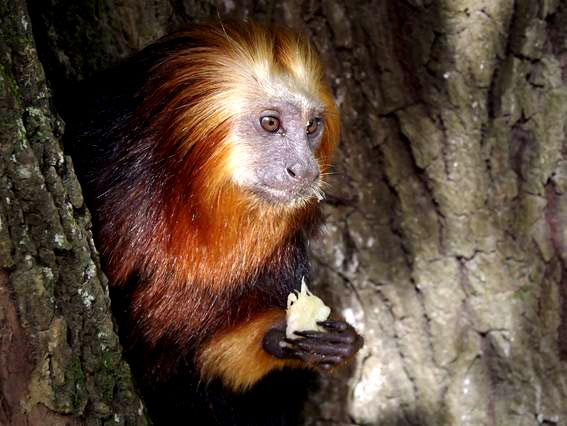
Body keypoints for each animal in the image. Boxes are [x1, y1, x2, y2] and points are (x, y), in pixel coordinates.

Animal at [69, 20, 364, 426]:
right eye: (270, 123)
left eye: (311, 127)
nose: (305, 170)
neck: (189, 204)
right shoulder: (110, 175)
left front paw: (298, 340)